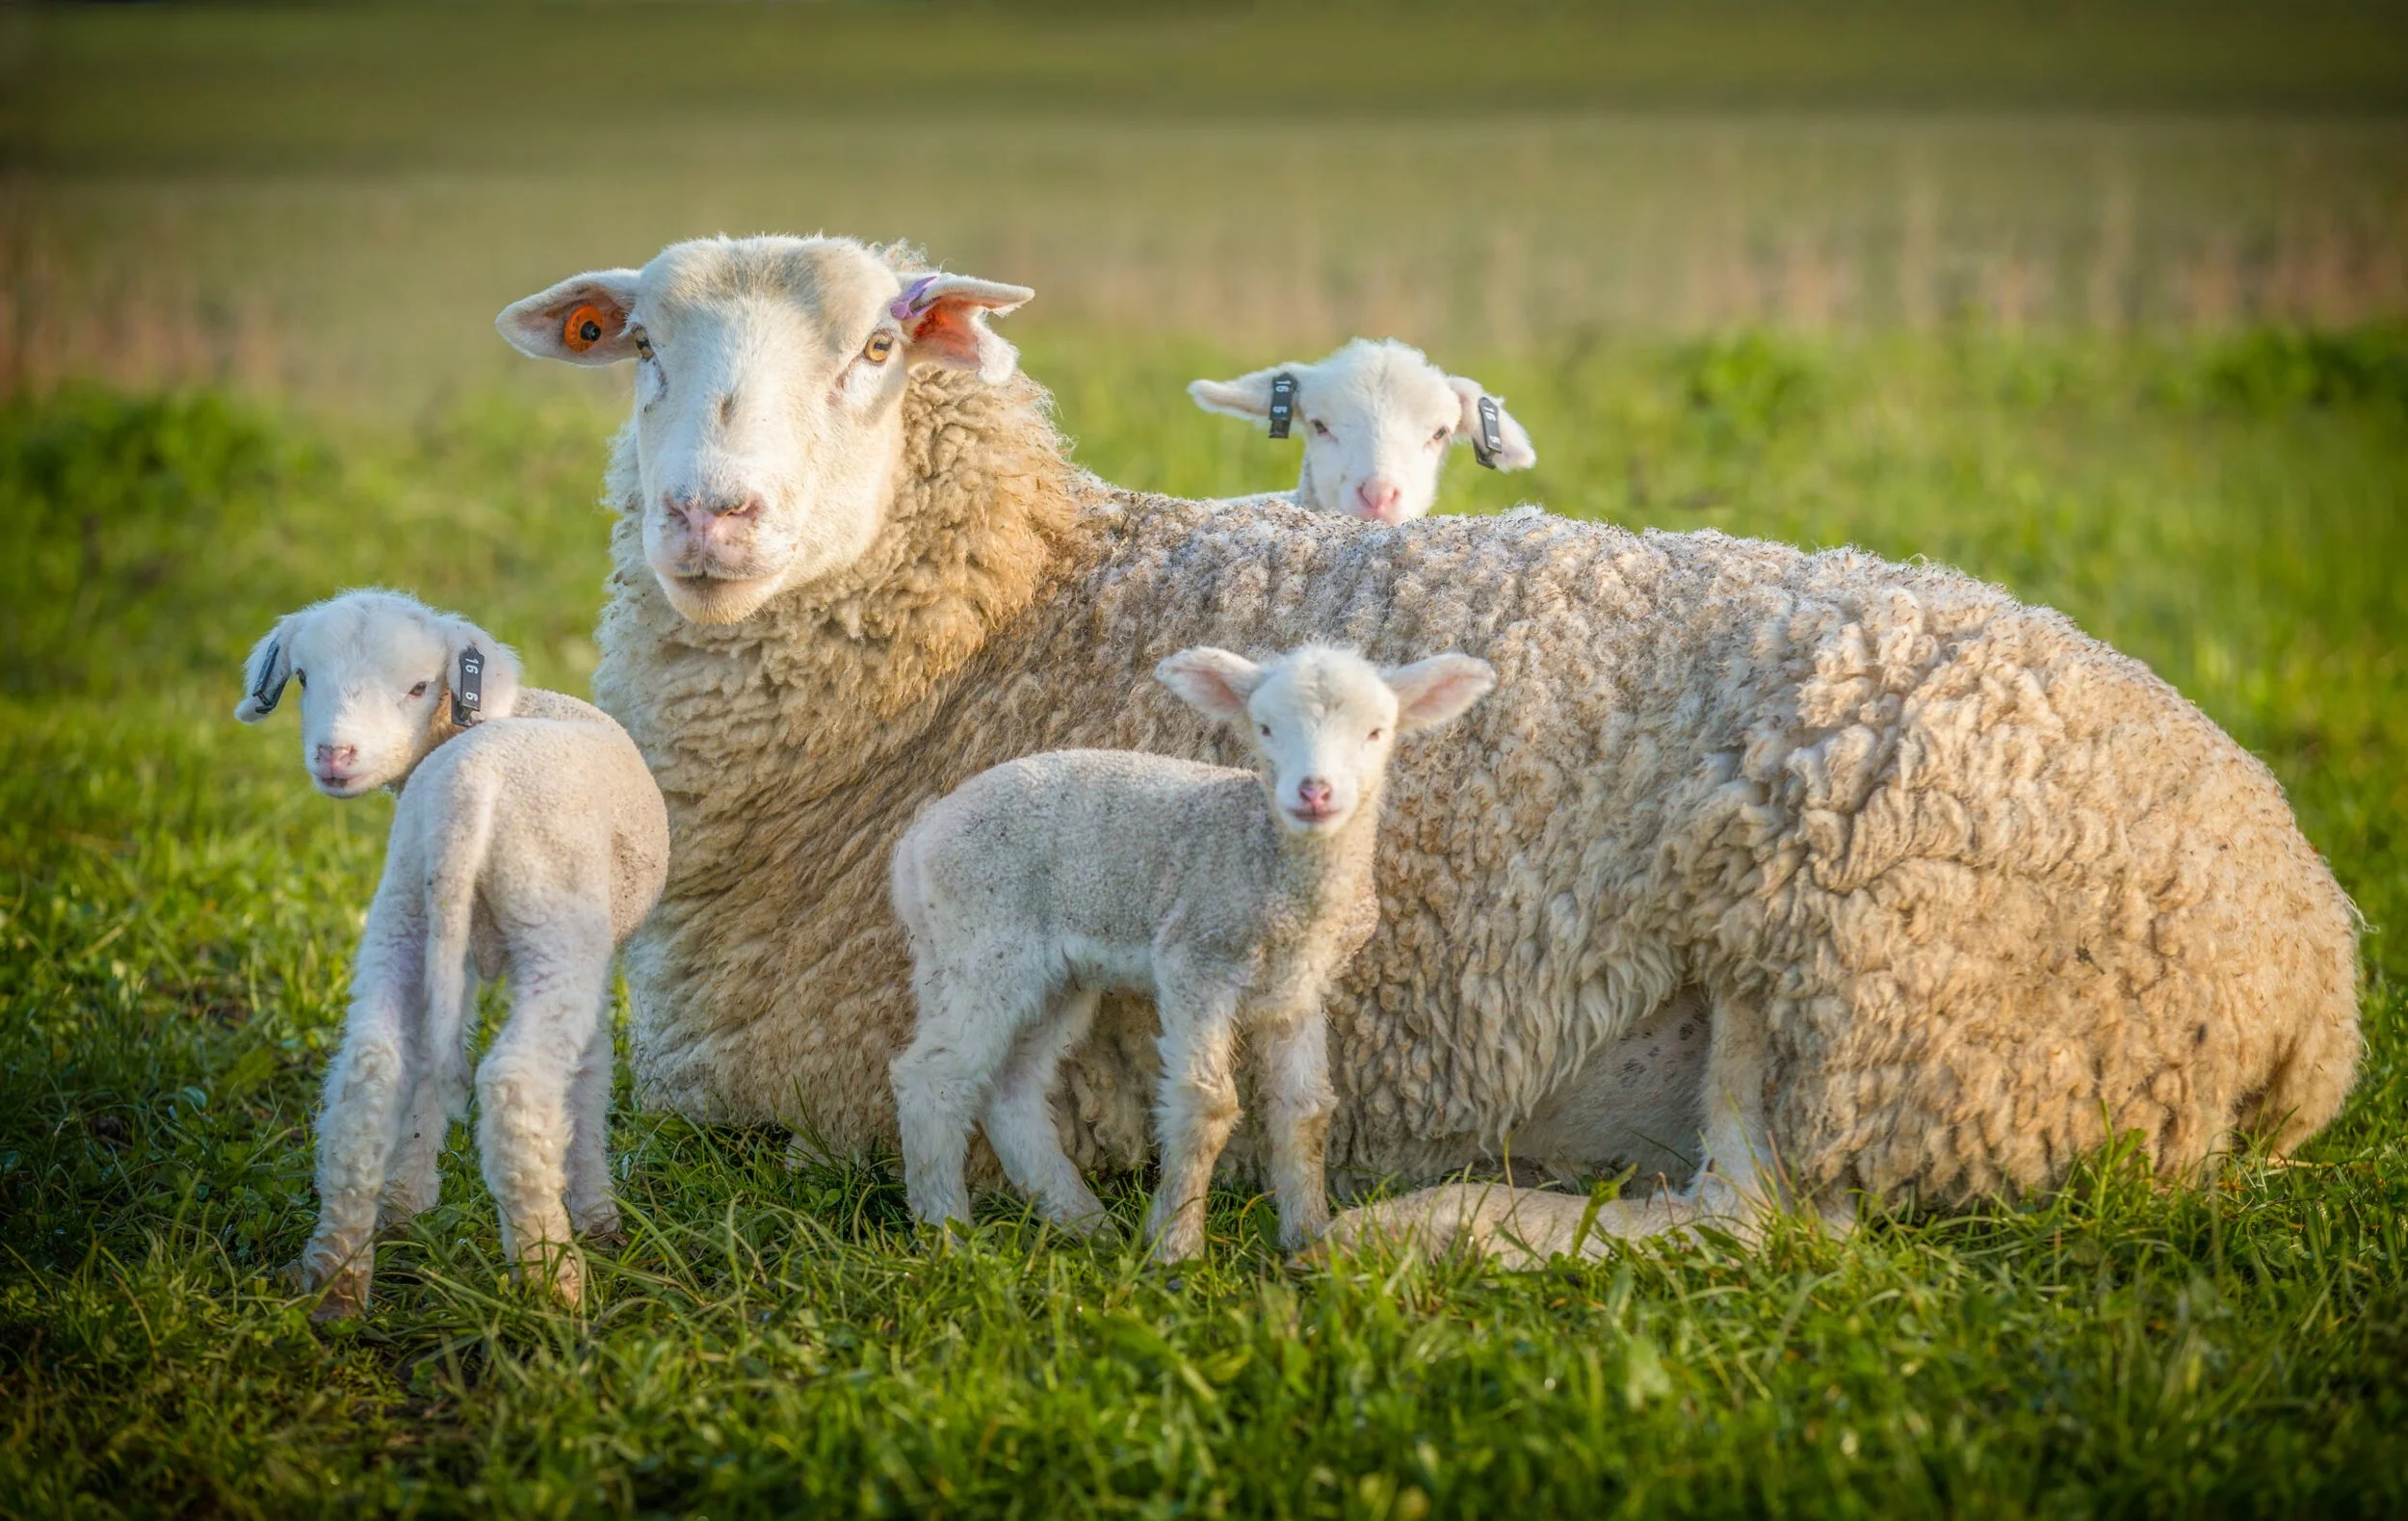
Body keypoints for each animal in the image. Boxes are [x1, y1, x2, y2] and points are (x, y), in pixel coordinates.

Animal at [235, 590, 669, 1316]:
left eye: (417, 687)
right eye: (301, 678)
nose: (334, 755)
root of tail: (470, 790)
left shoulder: (451, 946)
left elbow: (435, 1061)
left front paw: (405, 1201)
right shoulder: (592, 949)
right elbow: (589, 1077)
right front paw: (598, 1213)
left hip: (406, 907)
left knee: (372, 1070)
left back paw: (339, 1280)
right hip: (555, 924)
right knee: (516, 1085)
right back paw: (553, 1281)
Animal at [890, 644, 1495, 1259]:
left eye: (1376, 731)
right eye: (1265, 727)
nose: (1314, 792)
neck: (1273, 866)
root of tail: (915, 843)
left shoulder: (1297, 990)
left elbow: (1306, 1111)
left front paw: (1306, 1238)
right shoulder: (1196, 960)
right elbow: (1207, 1105)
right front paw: (1176, 1245)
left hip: (1046, 974)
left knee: (1011, 1089)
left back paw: (1086, 1224)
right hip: (982, 944)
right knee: (933, 1078)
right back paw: (946, 1236)